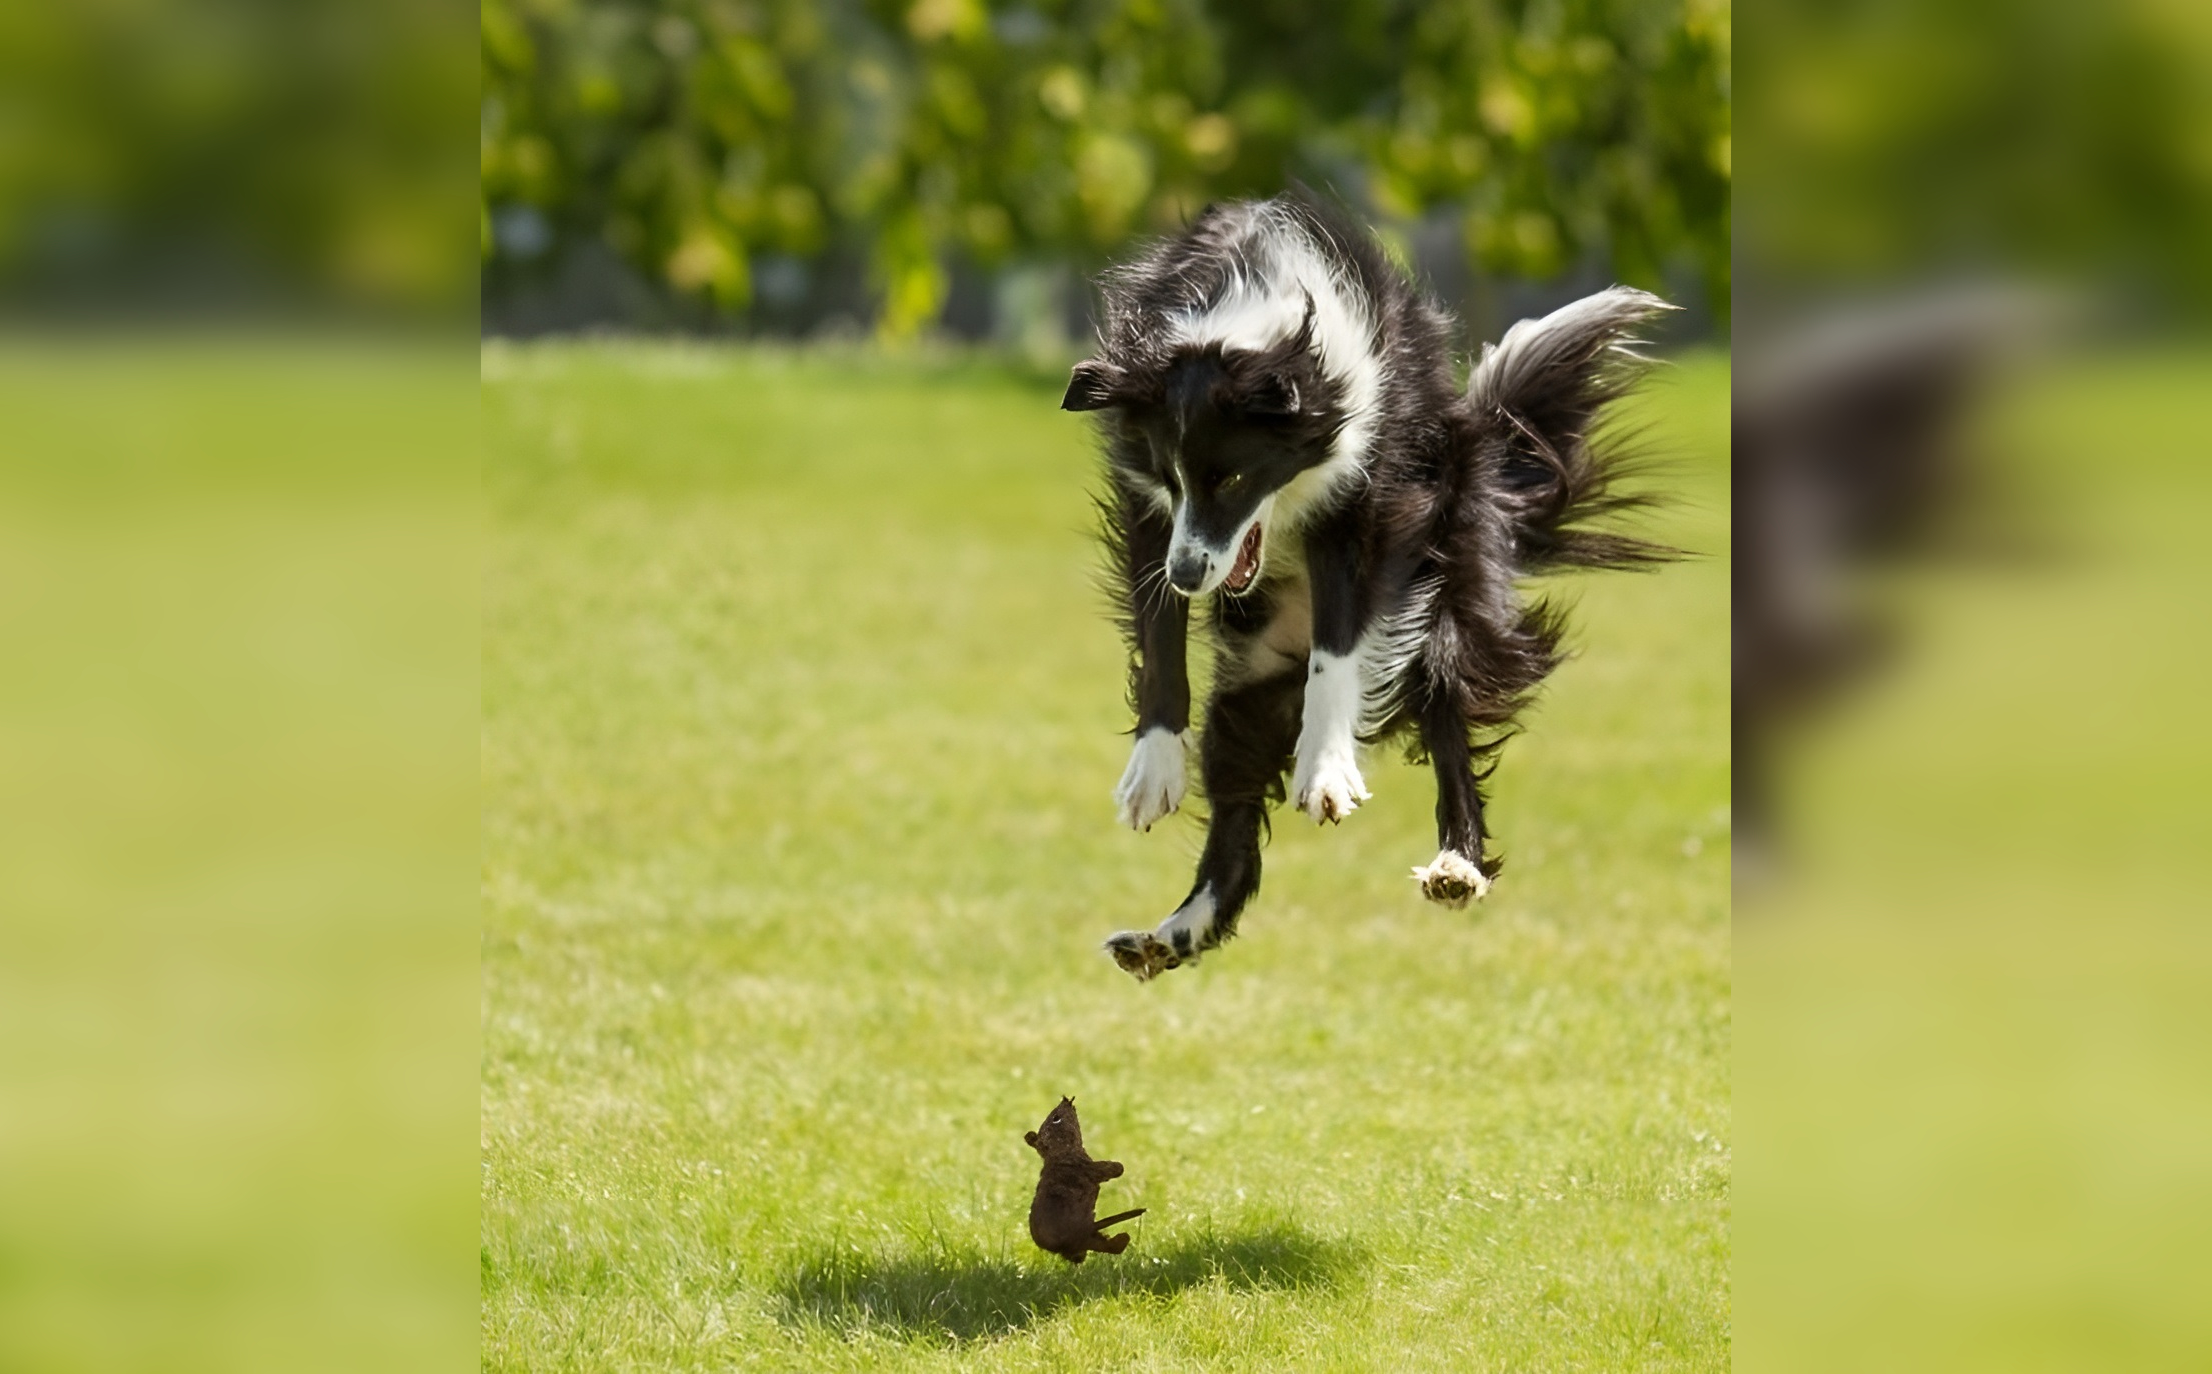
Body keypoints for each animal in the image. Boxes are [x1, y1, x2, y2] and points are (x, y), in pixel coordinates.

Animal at [1061, 195, 1663, 986]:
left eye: (1233, 475)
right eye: (1171, 474)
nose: (1190, 577)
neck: (1244, 320)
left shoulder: (1370, 499)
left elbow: (1339, 643)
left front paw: (1326, 772)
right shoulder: (1149, 510)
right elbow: (1159, 633)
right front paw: (1152, 769)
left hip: (1448, 609)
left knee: (1448, 721)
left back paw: (1456, 865)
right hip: (1250, 685)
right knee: (1234, 816)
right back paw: (1171, 934)